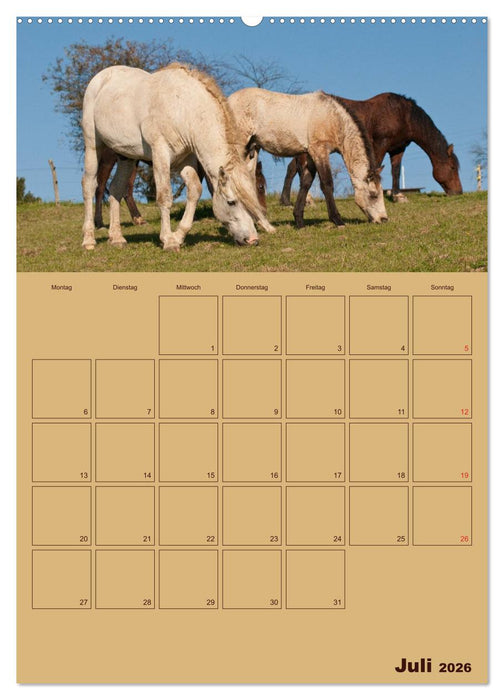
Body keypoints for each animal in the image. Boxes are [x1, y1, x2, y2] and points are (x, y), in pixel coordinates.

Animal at [81, 64, 274, 251]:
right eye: (231, 202)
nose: (252, 240)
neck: (182, 109)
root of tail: (102, 76)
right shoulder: (160, 154)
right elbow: (165, 197)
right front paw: (168, 240)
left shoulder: (186, 159)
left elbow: (195, 191)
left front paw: (178, 236)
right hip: (93, 145)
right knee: (90, 185)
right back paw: (89, 239)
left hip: (126, 156)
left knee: (116, 188)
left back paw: (116, 238)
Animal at [227, 87, 388, 228]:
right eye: (373, 195)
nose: (384, 219)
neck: (333, 118)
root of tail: (229, 100)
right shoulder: (320, 151)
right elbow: (327, 184)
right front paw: (337, 220)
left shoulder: (311, 154)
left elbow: (306, 183)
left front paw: (299, 220)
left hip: (253, 149)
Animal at [279, 93, 462, 207]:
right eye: (453, 167)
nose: (459, 192)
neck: (402, 115)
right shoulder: (380, 143)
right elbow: (376, 166)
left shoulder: (398, 148)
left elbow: (396, 171)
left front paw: (398, 196)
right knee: (301, 169)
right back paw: (307, 200)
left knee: (292, 168)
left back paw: (286, 201)